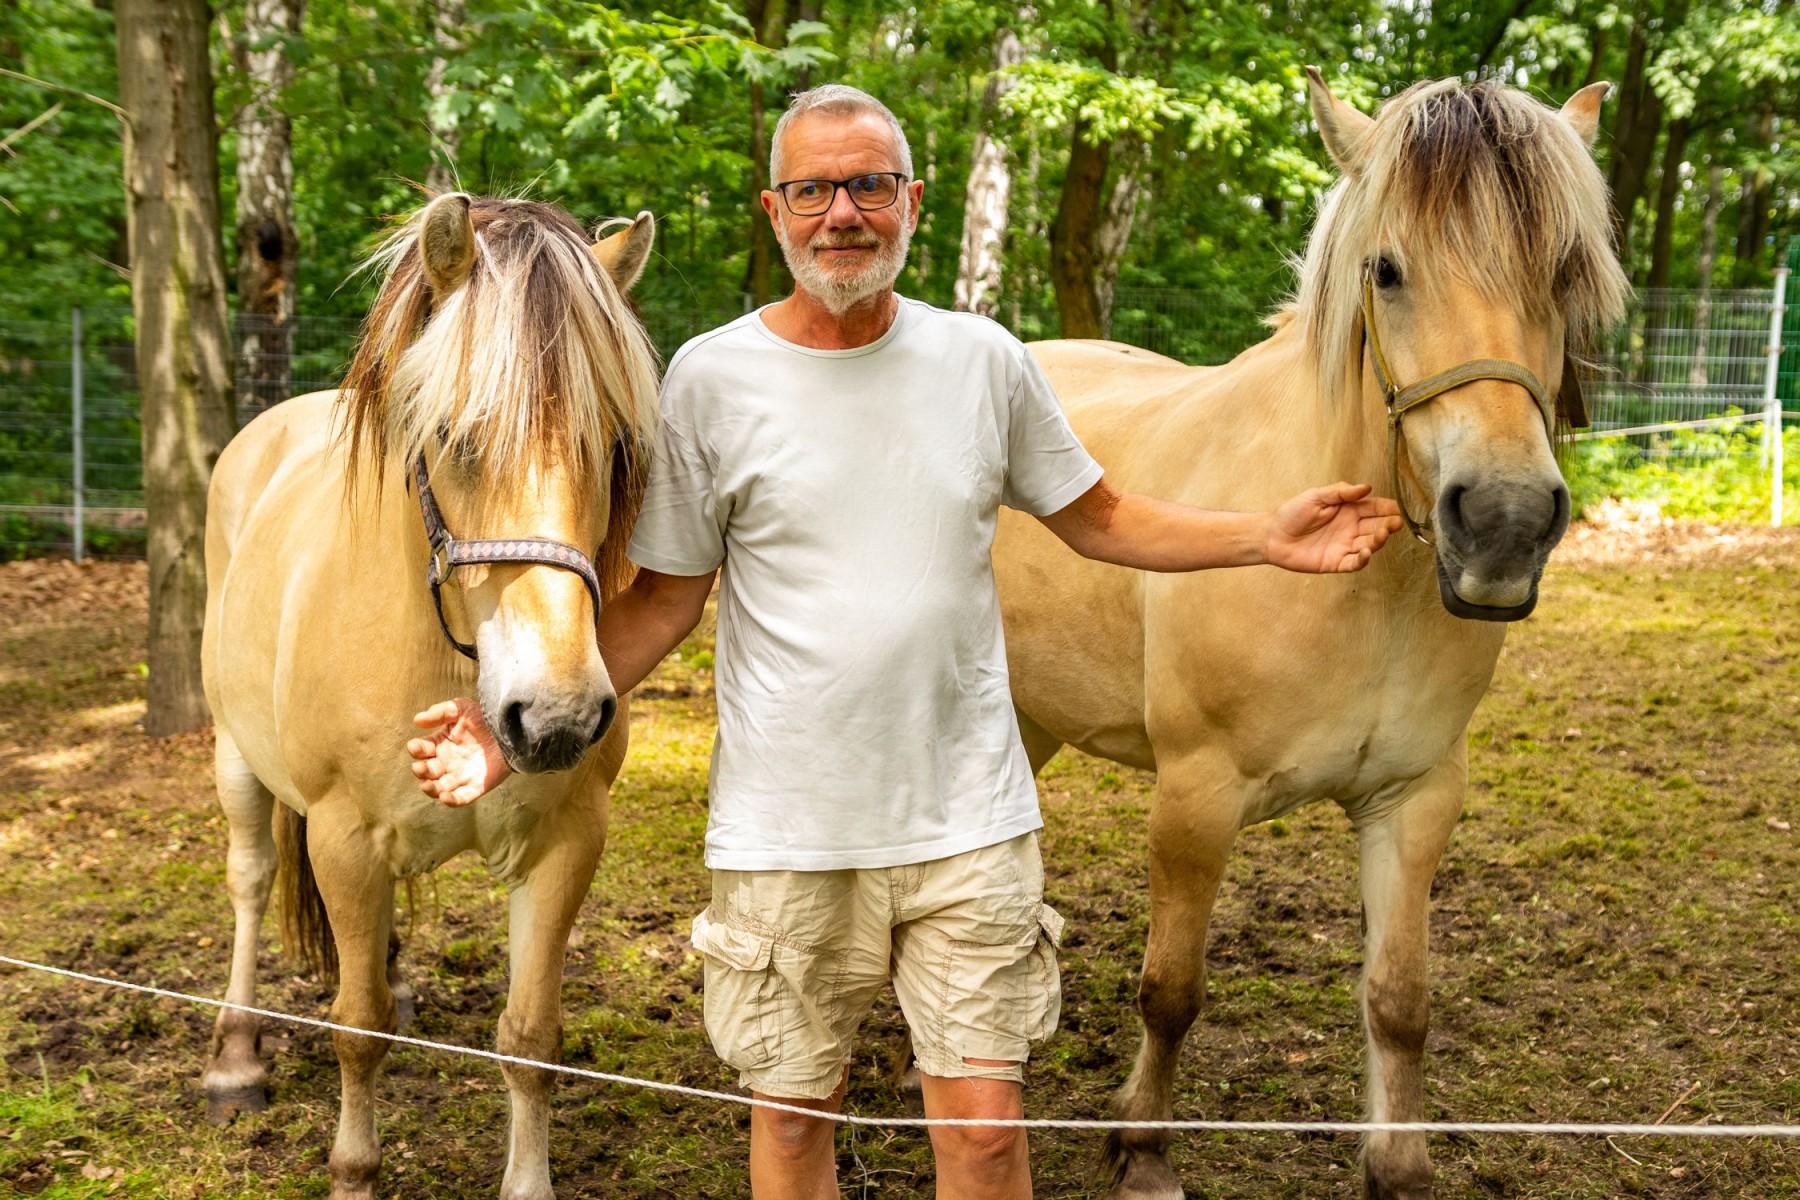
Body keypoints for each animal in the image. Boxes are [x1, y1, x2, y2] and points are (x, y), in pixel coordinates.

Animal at [197, 192, 662, 1194]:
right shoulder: (341, 840)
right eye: (453, 437)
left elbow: (529, 1038)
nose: (557, 717)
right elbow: (357, 1031)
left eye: (613, 446)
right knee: (250, 881)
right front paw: (352, 1170)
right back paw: (235, 1057)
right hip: (234, 756)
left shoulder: (567, 842)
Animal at [1000, 75, 1634, 1200]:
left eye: (1564, 272)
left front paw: (1396, 1167)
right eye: (1386, 269)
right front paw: (1144, 1153)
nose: (1504, 521)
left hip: (1033, 712)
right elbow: (1172, 989)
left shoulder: (1413, 801)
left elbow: (1400, 1001)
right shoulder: (1195, 798)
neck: (1366, 592)